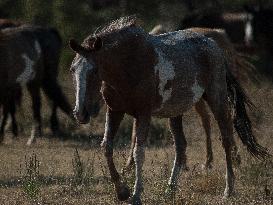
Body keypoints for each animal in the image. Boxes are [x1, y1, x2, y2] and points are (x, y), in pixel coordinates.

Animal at [68, 16, 268, 204]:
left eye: (94, 70)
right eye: (72, 69)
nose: (80, 113)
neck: (130, 65)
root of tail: (215, 45)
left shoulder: (144, 114)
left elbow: (139, 152)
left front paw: (136, 195)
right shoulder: (115, 111)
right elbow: (107, 147)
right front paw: (122, 191)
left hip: (217, 99)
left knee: (226, 138)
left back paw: (228, 189)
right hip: (176, 113)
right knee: (181, 146)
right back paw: (170, 189)